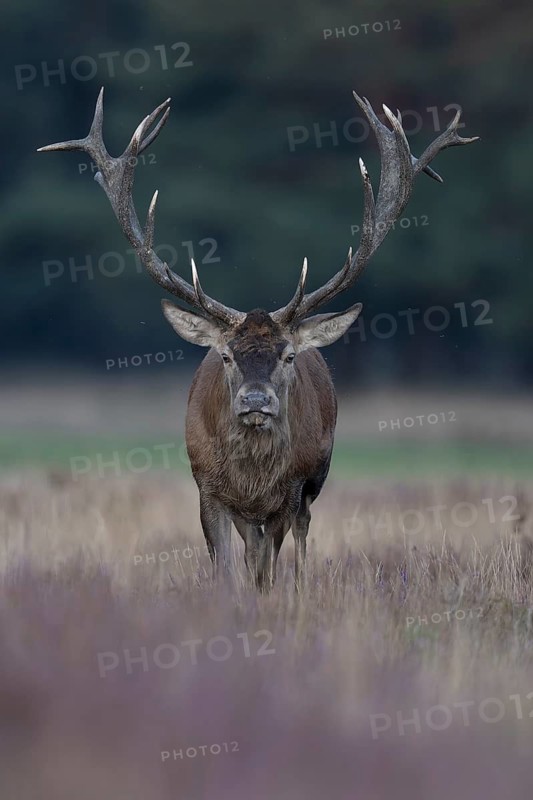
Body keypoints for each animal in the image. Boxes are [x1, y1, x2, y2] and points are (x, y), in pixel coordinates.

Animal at [39, 88, 478, 590]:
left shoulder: (289, 492)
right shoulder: (207, 489)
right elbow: (228, 567)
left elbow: (268, 566)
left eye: (287, 356)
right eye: (227, 356)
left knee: (298, 540)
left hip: (313, 485)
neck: (251, 478)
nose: (254, 400)